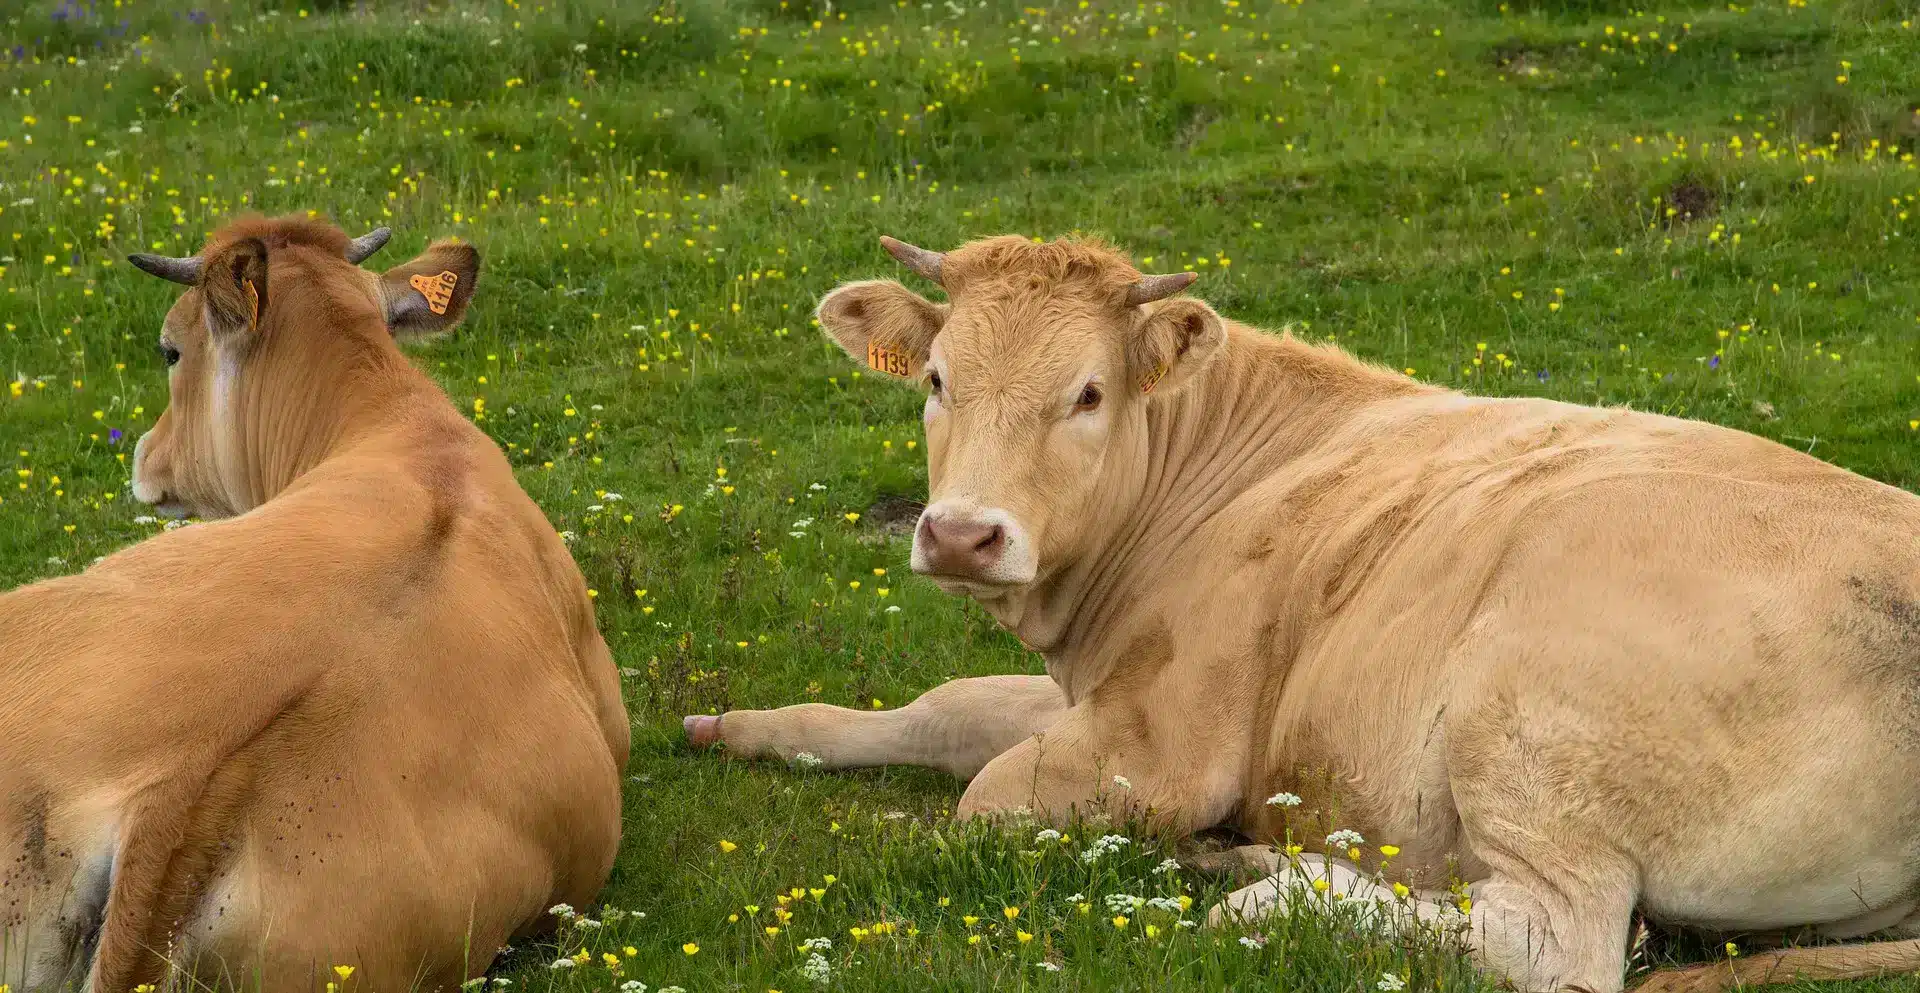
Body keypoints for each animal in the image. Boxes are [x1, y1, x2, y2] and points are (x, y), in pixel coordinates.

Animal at [695, 234, 1920, 991]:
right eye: (937, 379)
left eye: (1088, 393)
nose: (960, 534)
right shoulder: (1098, 689)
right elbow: (942, 707)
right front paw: (736, 730)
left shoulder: (1166, 740)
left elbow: (984, 800)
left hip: (1531, 714)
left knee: (1548, 944)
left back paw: (1268, 890)